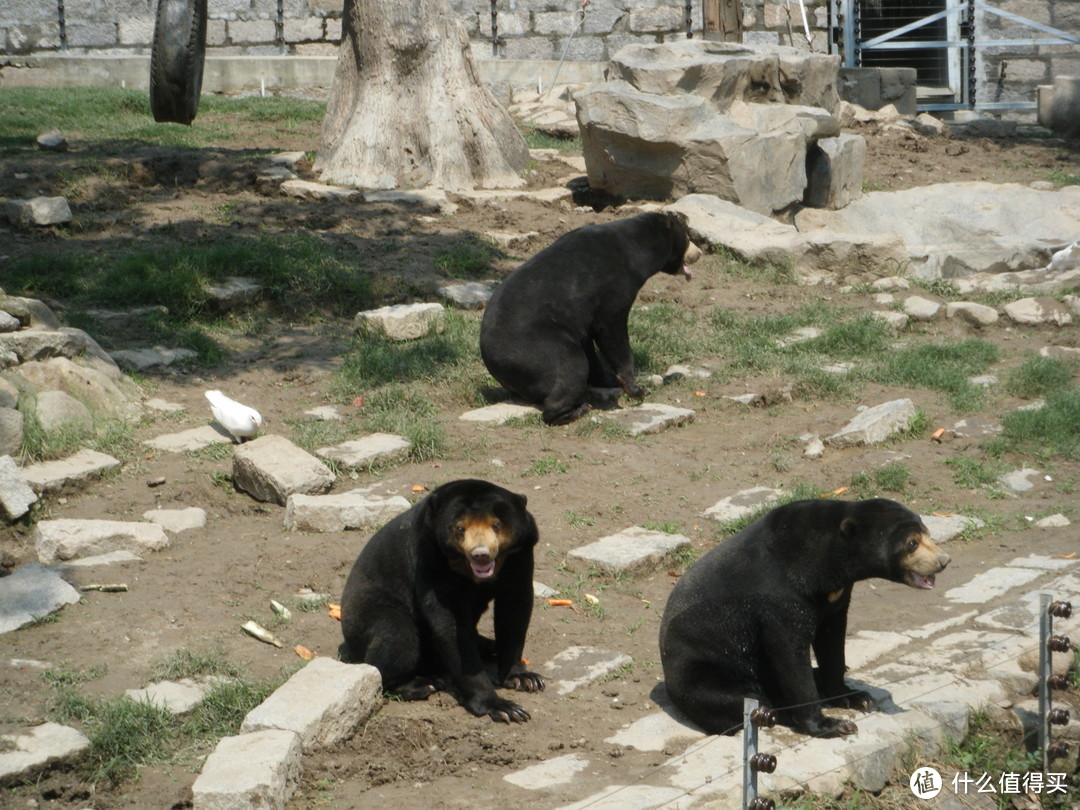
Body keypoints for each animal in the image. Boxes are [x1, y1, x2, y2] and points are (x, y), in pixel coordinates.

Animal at [339, 481, 544, 721]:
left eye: (497, 525)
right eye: (460, 528)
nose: (480, 554)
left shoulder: (520, 553)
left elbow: (514, 608)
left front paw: (525, 678)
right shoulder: (431, 557)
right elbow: (450, 627)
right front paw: (503, 707)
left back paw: (488, 646)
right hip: (365, 614)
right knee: (395, 634)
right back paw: (420, 685)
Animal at [479, 209, 699, 427]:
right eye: (688, 238)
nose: (698, 253)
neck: (637, 248)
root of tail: (493, 362)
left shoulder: (582, 317)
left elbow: (589, 343)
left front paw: (609, 379)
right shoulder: (614, 287)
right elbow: (612, 332)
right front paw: (635, 388)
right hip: (539, 349)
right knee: (570, 368)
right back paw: (577, 410)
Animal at [656, 498, 954, 738]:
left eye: (927, 534)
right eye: (912, 544)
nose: (943, 560)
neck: (825, 562)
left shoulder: (836, 595)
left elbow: (832, 640)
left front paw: (852, 695)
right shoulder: (778, 595)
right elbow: (789, 654)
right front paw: (833, 725)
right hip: (705, 671)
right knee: (742, 700)